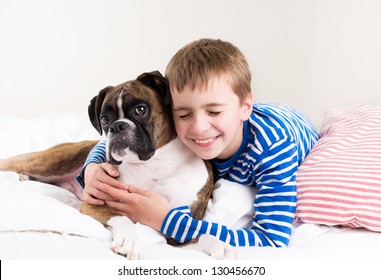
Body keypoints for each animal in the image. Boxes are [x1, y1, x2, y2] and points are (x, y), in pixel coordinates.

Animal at [0, 71, 217, 260]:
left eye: (140, 109)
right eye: (104, 119)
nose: (116, 126)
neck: (155, 165)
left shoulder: (177, 232)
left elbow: (199, 236)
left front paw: (217, 245)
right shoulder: (93, 205)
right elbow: (123, 217)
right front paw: (128, 240)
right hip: (50, 163)